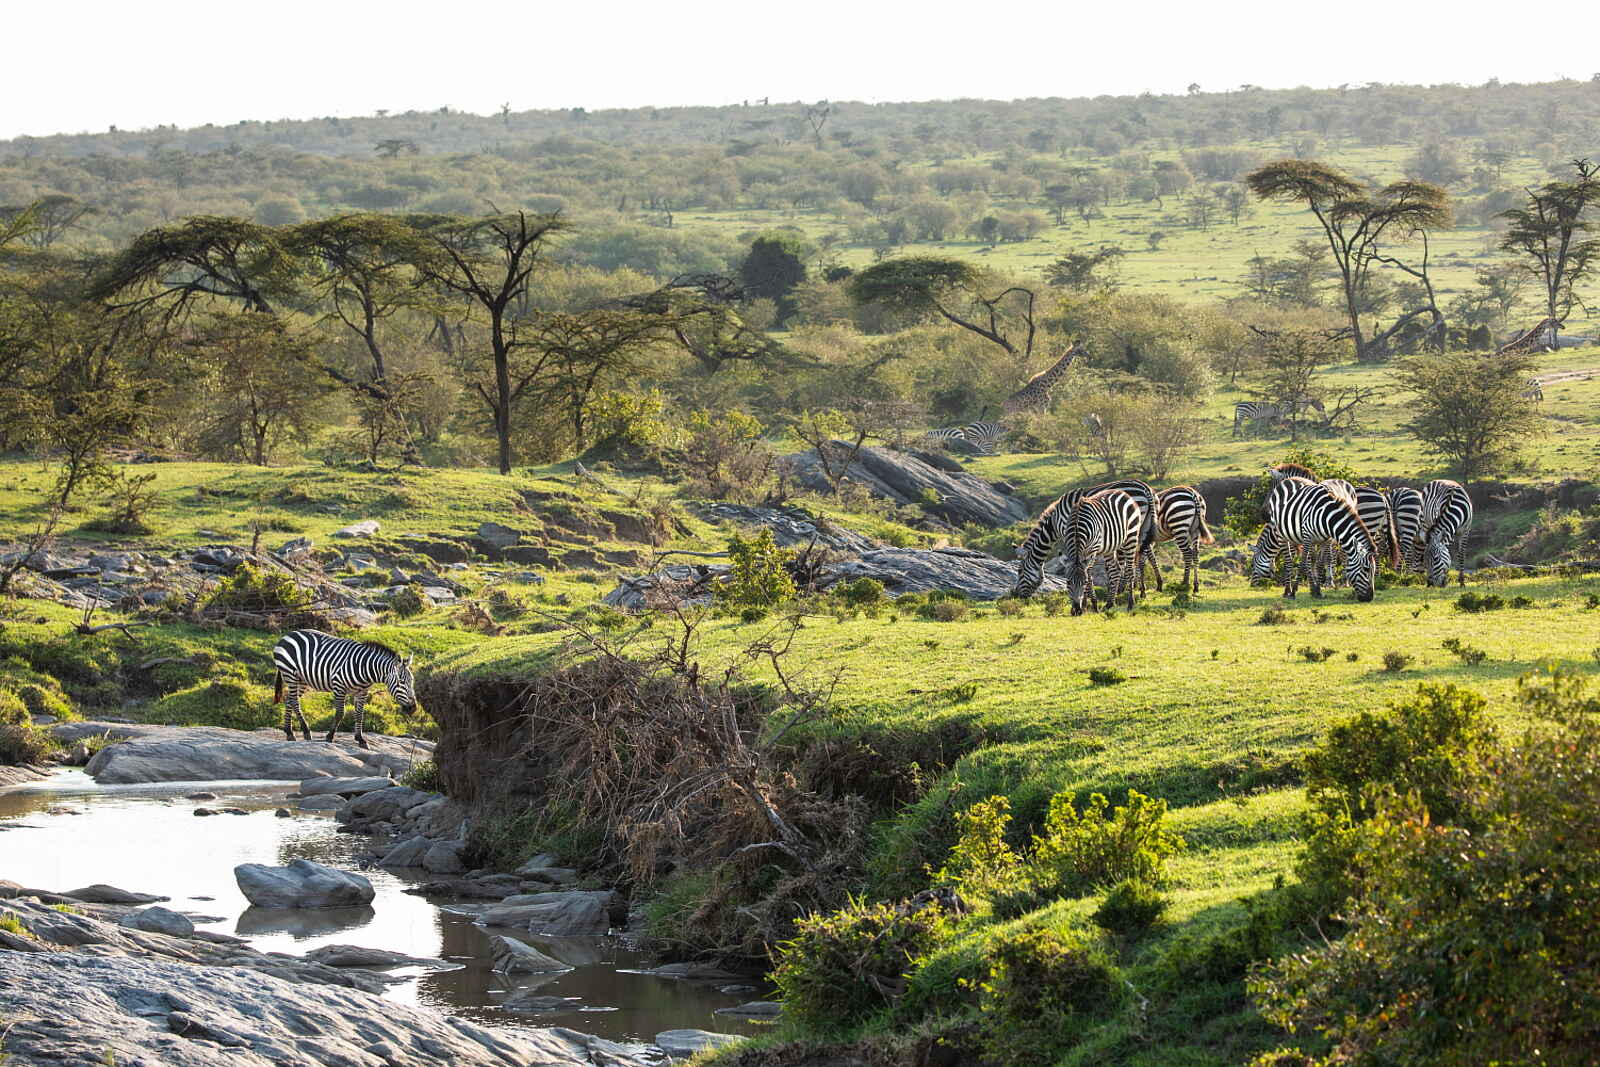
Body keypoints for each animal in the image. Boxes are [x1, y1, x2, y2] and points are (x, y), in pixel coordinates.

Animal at [272, 629, 418, 748]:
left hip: (302, 680)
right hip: (290, 674)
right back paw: (306, 731)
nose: (413, 708)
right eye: (401, 682)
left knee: (290, 699)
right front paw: (330, 736)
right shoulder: (339, 687)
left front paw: (360, 739)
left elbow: (359, 715)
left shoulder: (362, 692)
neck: (364, 668)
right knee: (295, 702)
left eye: (412, 681)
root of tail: (288, 634)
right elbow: (340, 713)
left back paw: (289, 732)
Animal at [1011, 478, 1159, 598]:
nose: (1016, 595)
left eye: (1019, 571)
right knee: (1145, 553)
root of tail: (1145, 487)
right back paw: (1147, 588)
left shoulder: (1068, 533)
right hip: (1144, 524)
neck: (1054, 522)